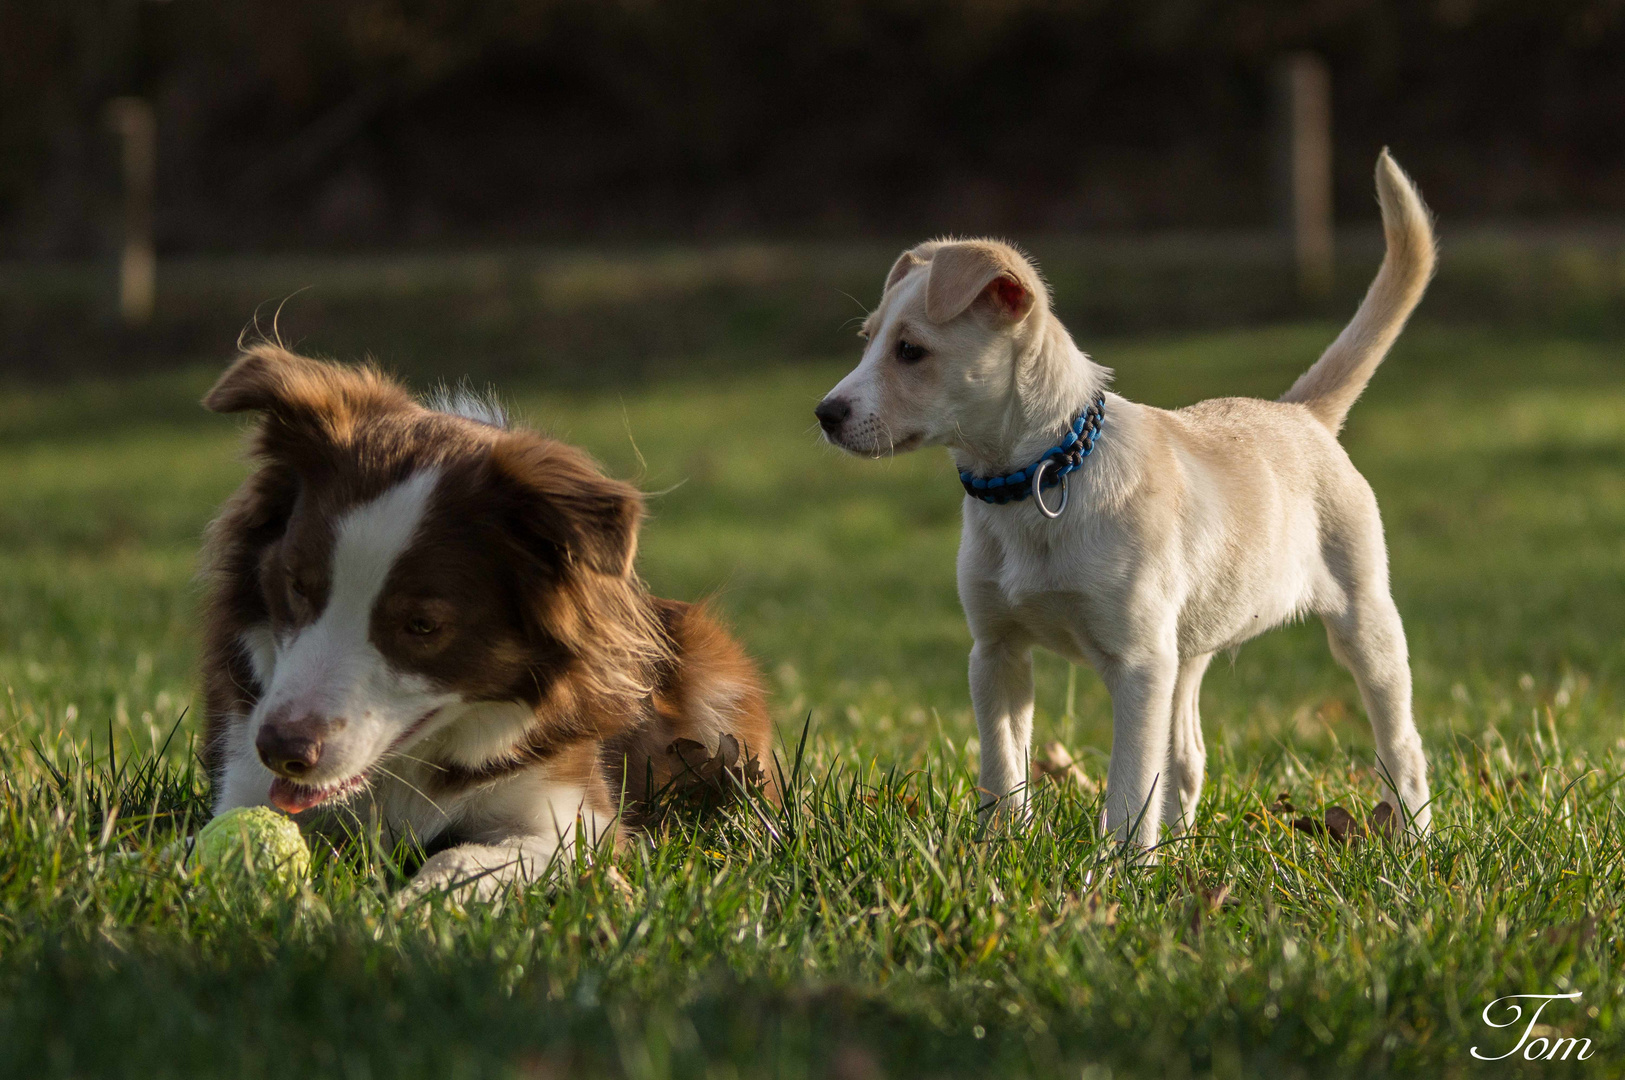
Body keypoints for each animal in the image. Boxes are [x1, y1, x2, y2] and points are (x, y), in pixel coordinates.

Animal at [201, 342, 773, 889]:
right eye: (297, 585)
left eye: (423, 625)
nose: (282, 750)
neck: (409, 765)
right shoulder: (245, 774)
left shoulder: (569, 814)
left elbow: (460, 858)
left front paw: (408, 910)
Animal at [819, 151, 1443, 844]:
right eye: (869, 339)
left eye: (911, 351)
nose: (825, 414)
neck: (1040, 479)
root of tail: (1301, 414)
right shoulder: (997, 653)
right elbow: (1003, 765)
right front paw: (1001, 847)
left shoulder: (1138, 666)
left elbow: (1127, 786)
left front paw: (1117, 867)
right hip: (1188, 648)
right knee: (1189, 757)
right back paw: (1181, 844)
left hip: (1365, 623)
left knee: (1402, 745)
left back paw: (1413, 840)